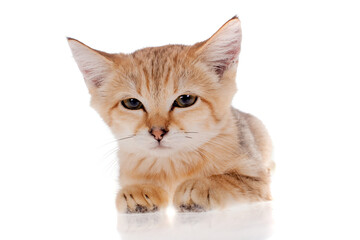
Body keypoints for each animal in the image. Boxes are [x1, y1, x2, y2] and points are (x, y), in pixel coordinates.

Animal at [67, 16, 274, 212]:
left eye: (186, 100)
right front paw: (139, 190)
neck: (171, 167)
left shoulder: (258, 179)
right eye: (132, 103)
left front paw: (199, 186)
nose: (157, 132)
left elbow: (228, 180)